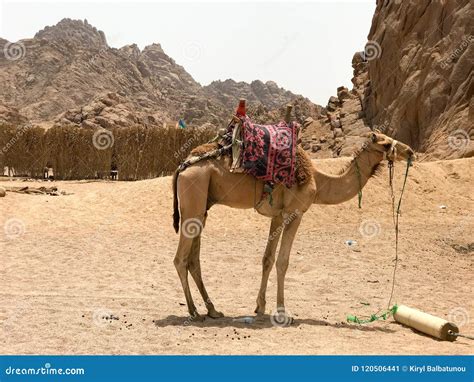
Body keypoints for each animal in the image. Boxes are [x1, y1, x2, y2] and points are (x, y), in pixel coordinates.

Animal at [171, 133, 414, 320]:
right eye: (385, 143)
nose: (410, 151)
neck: (317, 181)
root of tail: (182, 166)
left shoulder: (278, 216)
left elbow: (267, 259)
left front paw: (260, 307)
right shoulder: (294, 213)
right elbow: (283, 261)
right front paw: (281, 311)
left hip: (202, 208)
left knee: (193, 260)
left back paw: (213, 310)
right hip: (193, 203)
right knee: (180, 259)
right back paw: (194, 312)